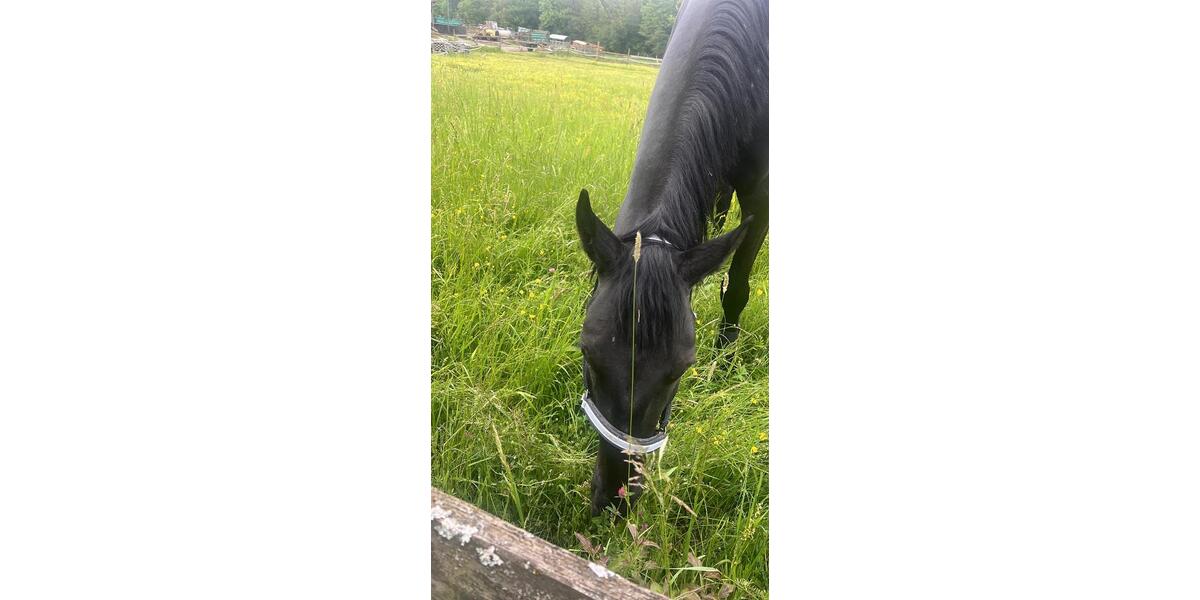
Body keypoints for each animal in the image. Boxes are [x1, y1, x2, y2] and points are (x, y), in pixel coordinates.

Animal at [575, 0, 769, 516]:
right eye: (587, 352)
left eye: (683, 367)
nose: (617, 499)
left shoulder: (763, 195)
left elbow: (736, 286)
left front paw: (726, 357)